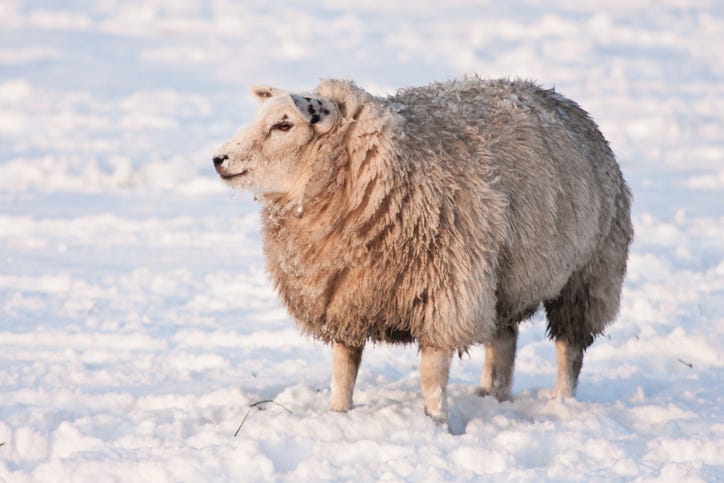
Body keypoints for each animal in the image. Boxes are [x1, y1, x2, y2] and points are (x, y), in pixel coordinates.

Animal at [213, 77, 633, 424]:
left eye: (284, 125)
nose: (219, 160)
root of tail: (557, 96)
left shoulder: (445, 296)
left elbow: (431, 375)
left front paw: (436, 423)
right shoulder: (344, 297)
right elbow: (344, 368)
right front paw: (338, 414)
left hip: (589, 273)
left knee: (569, 348)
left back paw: (562, 401)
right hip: (504, 279)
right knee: (503, 343)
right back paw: (492, 397)